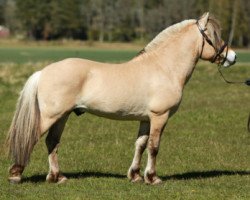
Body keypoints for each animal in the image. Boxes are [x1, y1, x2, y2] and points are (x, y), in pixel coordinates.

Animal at [5, 12, 236, 184]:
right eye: (214, 35)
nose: (232, 57)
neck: (164, 68)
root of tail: (43, 71)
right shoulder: (159, 116)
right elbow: (154, 146)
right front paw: (152, 178)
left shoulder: (146, 119)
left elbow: (140, 144)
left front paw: (135, 176)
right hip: (50, 116)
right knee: (32, 138)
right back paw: (16, 175)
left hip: (62, 116)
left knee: (52, 142)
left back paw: (57, 177)